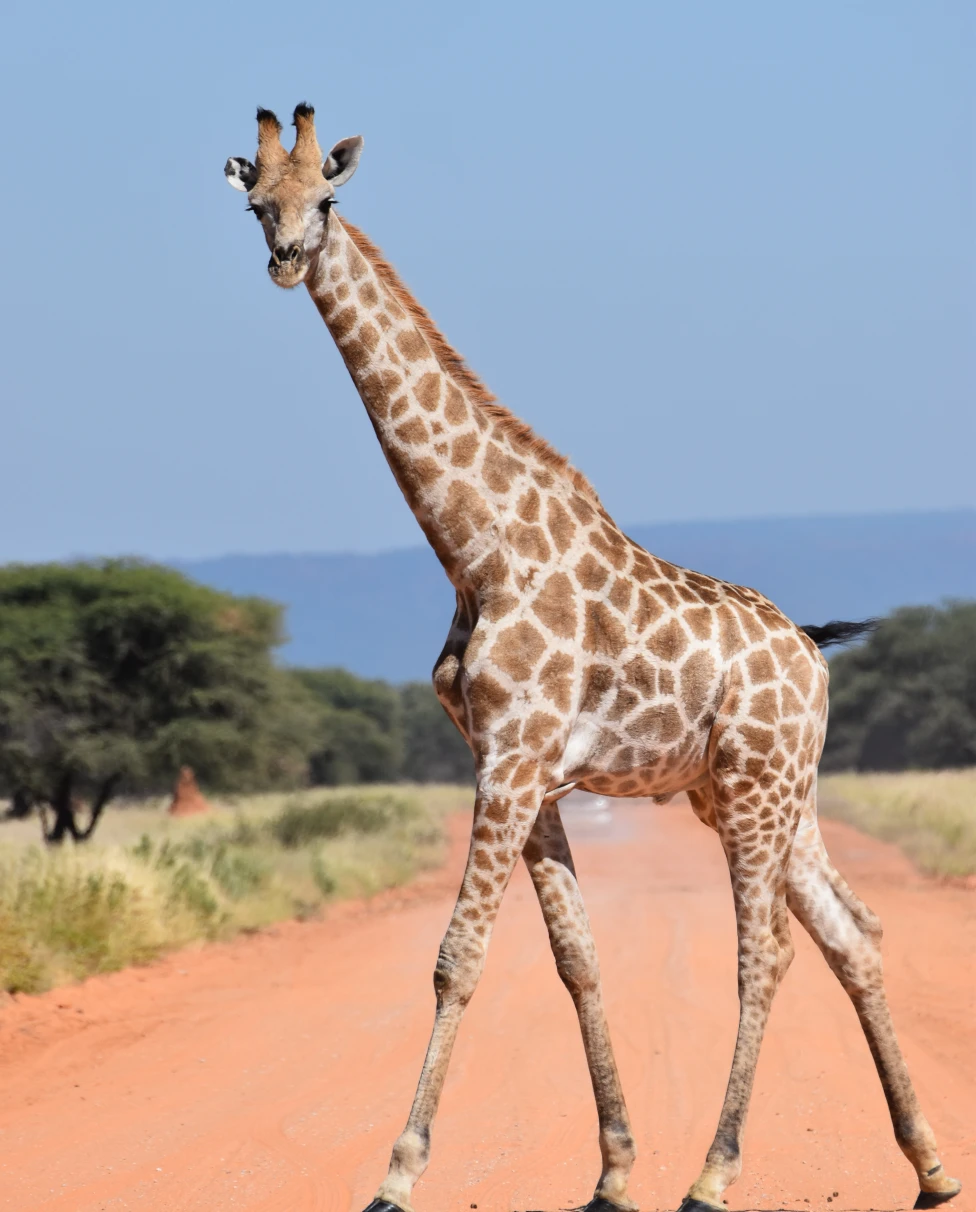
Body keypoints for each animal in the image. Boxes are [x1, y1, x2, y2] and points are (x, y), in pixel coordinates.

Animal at [223, 105, 961, 1212]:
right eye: (258, 203)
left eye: (330, 198)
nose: (288, 259)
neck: (474, 546)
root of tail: (811, 653)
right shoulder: (520, 769)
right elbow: (576, 958)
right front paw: (612, 1170)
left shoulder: (513, 759)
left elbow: (459, 957)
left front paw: (396, 1174)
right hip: (762, 793)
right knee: (853, 933)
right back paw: (928, 1165)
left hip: (755, 790)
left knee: (767, 953)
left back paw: (714, 1174)